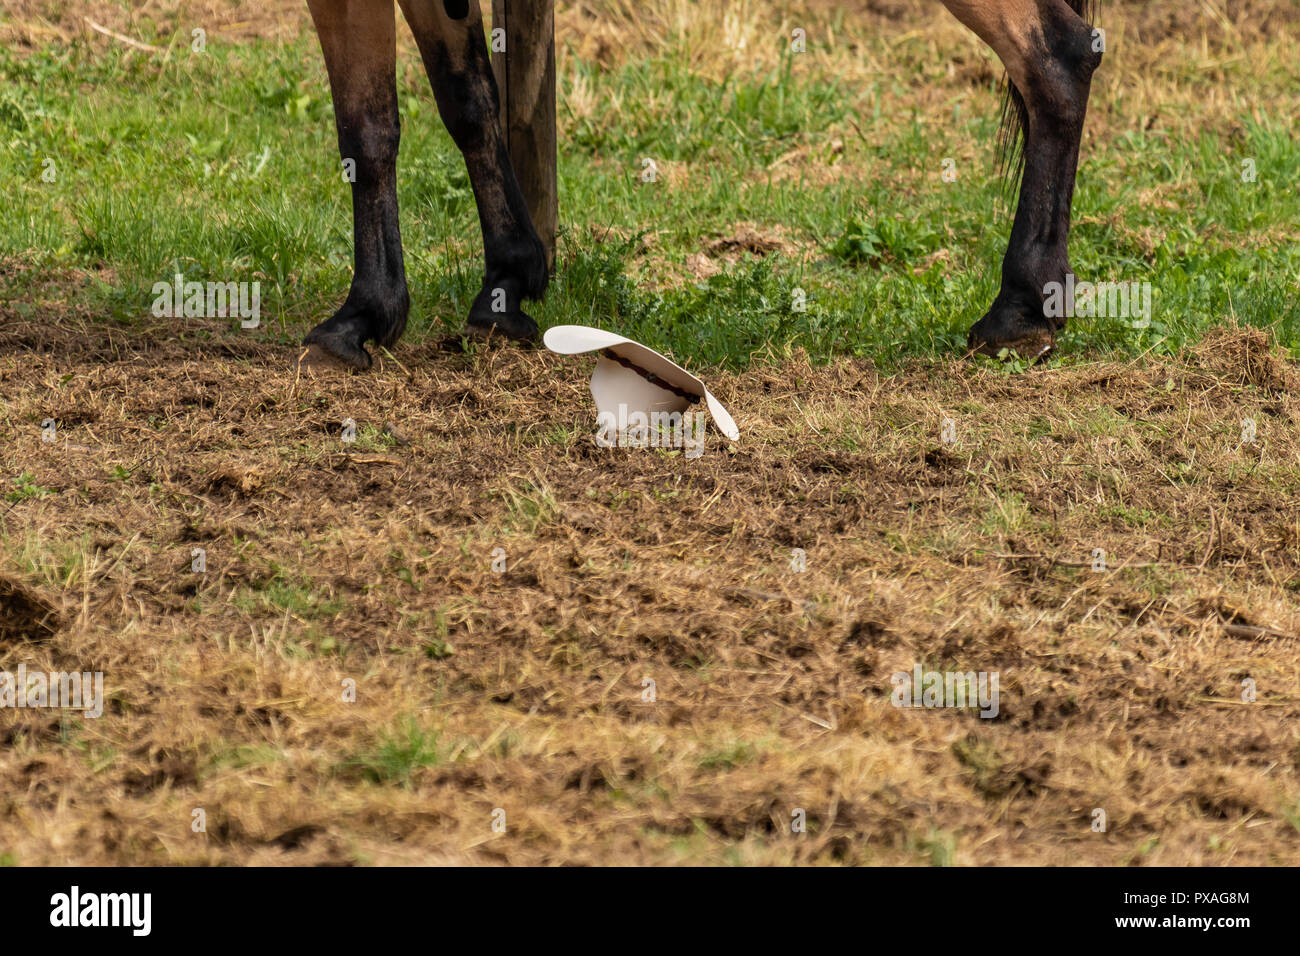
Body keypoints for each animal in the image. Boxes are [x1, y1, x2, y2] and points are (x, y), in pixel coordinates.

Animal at [301, 0, 1097, 369]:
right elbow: (467, 100)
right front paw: (507, 284)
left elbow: (368, 130)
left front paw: (361, 316)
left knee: (1055, 60)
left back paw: (1019, 309)